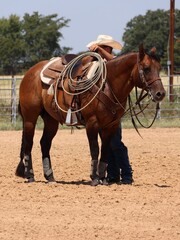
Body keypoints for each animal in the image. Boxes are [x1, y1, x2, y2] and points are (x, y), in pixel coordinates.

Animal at [15, 43, 166, 186]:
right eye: (146, 68)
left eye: (159, 68)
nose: (161, 93)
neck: (107, 85)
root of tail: (29, 73)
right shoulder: (92, 123)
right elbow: (95, 149)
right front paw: (94, 178)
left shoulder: (110, 125)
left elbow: (105, 150)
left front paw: (103, 179)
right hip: (30, 118)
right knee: (28, 143)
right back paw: (30, 176)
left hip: (51, 119)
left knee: (45, 143)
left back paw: (50, 177)